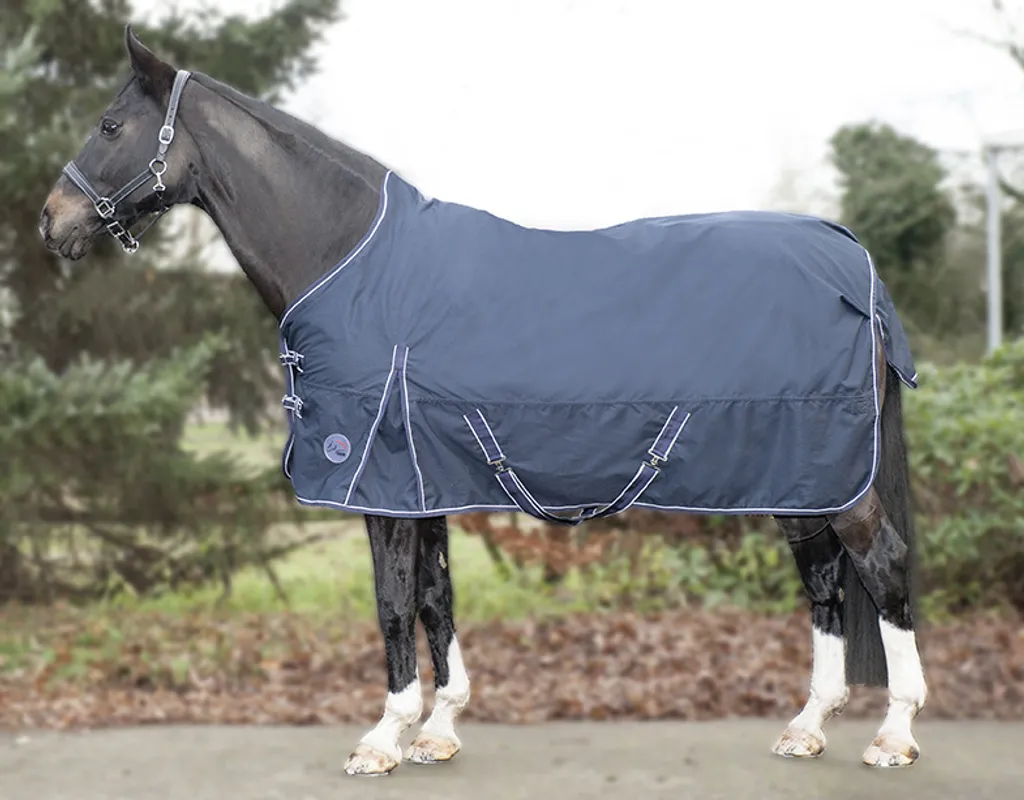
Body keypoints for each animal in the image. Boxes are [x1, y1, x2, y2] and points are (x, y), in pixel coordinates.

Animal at [39, 26, 927, 776]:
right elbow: (436, 598)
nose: (52, 222)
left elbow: (394, 602)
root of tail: (855, 264)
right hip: (801, 475)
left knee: (881, 564)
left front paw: (383, 737)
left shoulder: (380, 484)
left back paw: (894, 733)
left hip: (829, 475)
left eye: (111, 127)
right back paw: (807, 725)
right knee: (824, 577)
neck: (356, 266)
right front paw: (438, 728)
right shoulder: (422, 481)